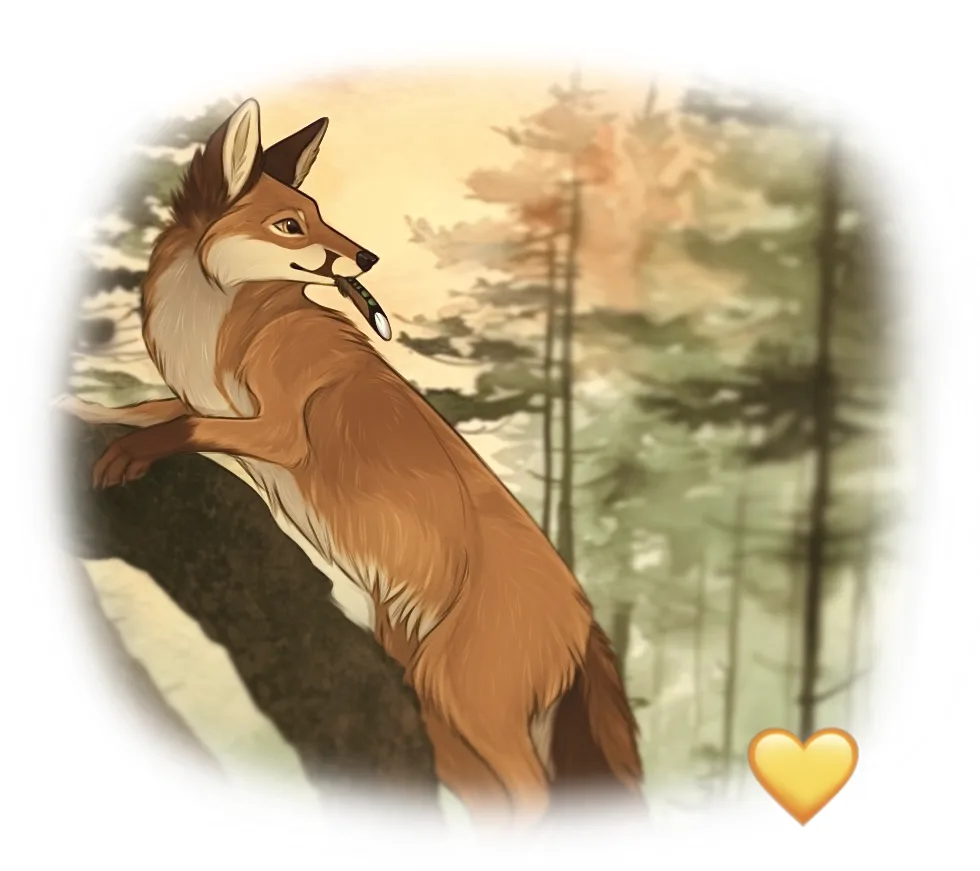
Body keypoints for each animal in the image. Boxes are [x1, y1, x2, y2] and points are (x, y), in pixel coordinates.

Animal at [60, 98, 644, 824]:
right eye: (291, 224)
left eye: (316, 215)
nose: (367, 255)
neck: (221, 329)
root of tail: (587, 615)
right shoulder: (208, 403)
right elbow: (145, 409)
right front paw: (78, 408)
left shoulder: (281, 433)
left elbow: (183, 427)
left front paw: (126, 454)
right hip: (432, 699)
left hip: (461, 695)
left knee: (534, 798)